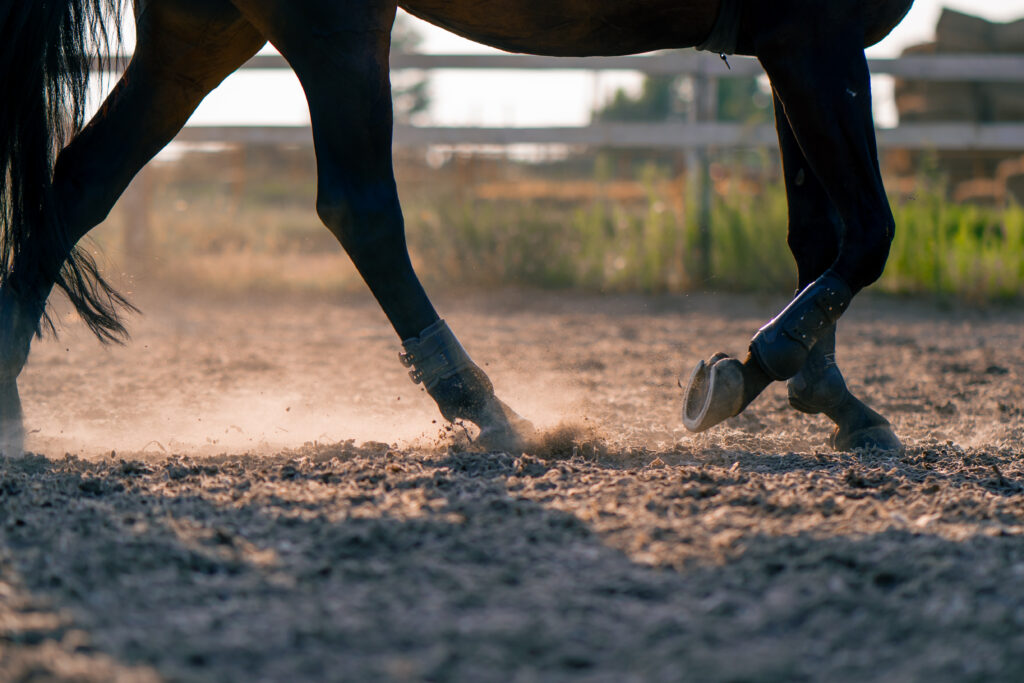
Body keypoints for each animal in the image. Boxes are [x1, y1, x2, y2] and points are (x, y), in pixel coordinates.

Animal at [0, 0, 913, 456]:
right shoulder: (814, 34)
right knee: (361, 206)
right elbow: (868, 231)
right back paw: (479, 400)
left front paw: (831, 397)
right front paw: (747, 373)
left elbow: (818, 233)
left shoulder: (791, 45)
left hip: (202, 28)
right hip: (329, 22)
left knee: (79, 182)